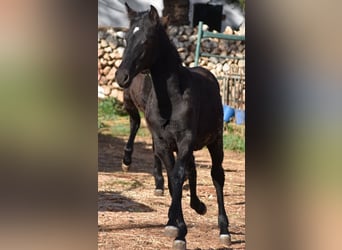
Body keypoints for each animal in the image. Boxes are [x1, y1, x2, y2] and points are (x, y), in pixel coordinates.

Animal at [116, 4, 231, 250]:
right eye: (127, 38)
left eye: (146, 40)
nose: (122, 76)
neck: (170, 98)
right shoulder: (163, 142)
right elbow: (172, 178)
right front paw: (176, 224)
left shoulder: (185, 140)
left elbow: (178, 177)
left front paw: (176, 229)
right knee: (192, 169)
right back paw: (198, 205)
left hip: (215, 141)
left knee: (217, 175)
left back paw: (224, 230)